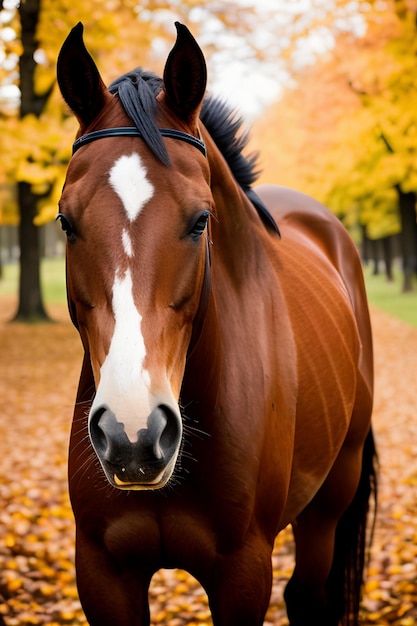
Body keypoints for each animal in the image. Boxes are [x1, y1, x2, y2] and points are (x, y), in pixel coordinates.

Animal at [56, 20, 376, 624]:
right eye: (66, 221)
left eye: (200, 219)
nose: (133, 436)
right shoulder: (103, 572)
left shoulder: (243, 573)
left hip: (329, 498)